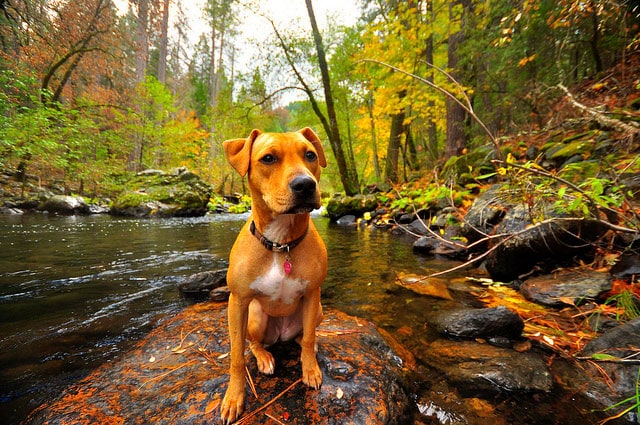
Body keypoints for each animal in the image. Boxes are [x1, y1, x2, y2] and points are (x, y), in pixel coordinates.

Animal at [221, 127, 330, 422]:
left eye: (310, 155)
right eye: (268, 158)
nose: (305, 185)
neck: (281, 244)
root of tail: (280, 335)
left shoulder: (313, 293)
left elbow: (309, 338)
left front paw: (310, 369)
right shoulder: (238, 302)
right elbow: (236, 355)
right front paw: (234, 398)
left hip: (317, 311)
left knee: (303, 335)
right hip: (256, 316)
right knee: (254, 343)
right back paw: (264, 357)